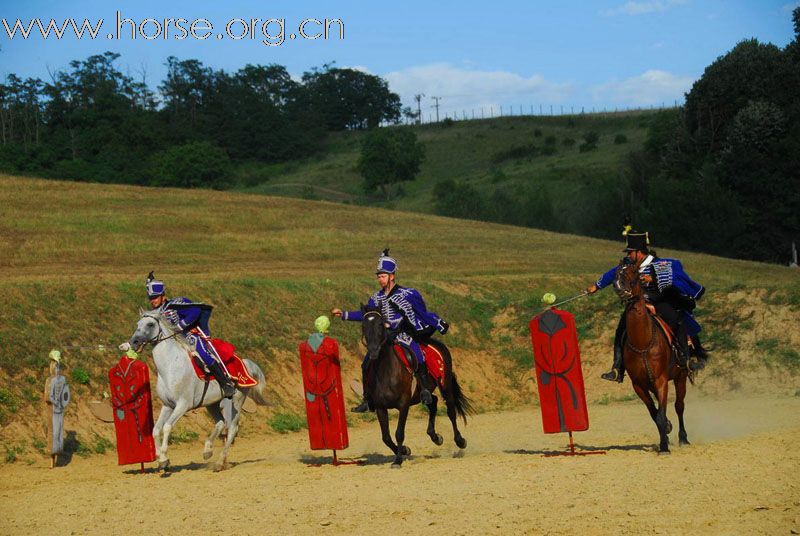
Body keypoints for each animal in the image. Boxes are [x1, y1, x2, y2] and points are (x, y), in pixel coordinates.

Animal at [127, 310, 268, 468]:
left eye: (150, 324)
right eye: (137, 324)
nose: (134, 342)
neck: (171, 367)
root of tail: (244, 363)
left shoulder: (182, 405)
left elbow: (167, 427)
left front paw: (163, 456)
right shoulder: (167, 405)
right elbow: (156, 430)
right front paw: (161, 458)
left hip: (235, 402)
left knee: (231, 428)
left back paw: (220, 462)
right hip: (212, 404)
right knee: (220, 423)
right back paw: (207, 451)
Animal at [360, 306, 472, 468]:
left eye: (381, 325)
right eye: (364, 326)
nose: (373, 350)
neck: (386, 371)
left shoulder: (404, 404)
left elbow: (399, 433)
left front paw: (398, 460)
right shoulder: (380, 407)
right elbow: (386, 437)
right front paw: (404, 450)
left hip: (445, 386)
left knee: (451, 411)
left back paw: (460, 441)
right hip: (421, 395)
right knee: (433, 402)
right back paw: (435, 437)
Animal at [616, 260, 692, 452]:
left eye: (633, 272)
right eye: (616, 274)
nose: (620, 287)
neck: (643, 342)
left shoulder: (661, 380)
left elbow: (661, 414)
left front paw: (664, 447)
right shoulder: (639, 385)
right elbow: (655, 414)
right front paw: (665, 432)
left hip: (680, 377)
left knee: (679, 406)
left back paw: (683, 438)